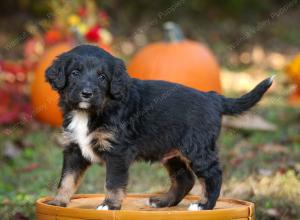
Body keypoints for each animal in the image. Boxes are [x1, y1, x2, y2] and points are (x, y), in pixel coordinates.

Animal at [45, 43, 274, 211]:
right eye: (75, 73)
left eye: (102, 77)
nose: (87, 93)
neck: (88, 112)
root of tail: (213, 97)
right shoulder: (74, 149)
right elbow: (66, 179)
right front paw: (58, 203)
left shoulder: (118, 152)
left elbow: (113, 182)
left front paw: (109, 206)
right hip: (172, 152)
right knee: (184, 179)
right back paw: (163, 202)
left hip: (197, 149)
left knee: (213, 175)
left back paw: (204, 205)